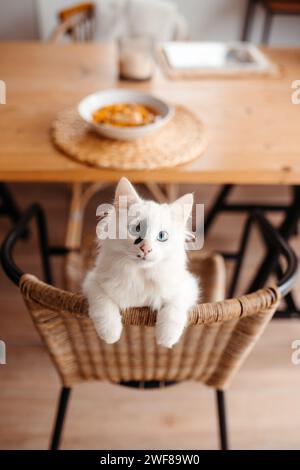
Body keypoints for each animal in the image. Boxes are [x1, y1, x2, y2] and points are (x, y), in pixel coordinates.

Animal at [82, 178, 199, 350]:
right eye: (136, 229)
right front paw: (110, 334)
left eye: (162, 236)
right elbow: (103, 303)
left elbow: (174, 307)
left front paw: (166, 338)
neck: (139, 275)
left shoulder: (188, 285)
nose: (146, 249)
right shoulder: (92, 281)